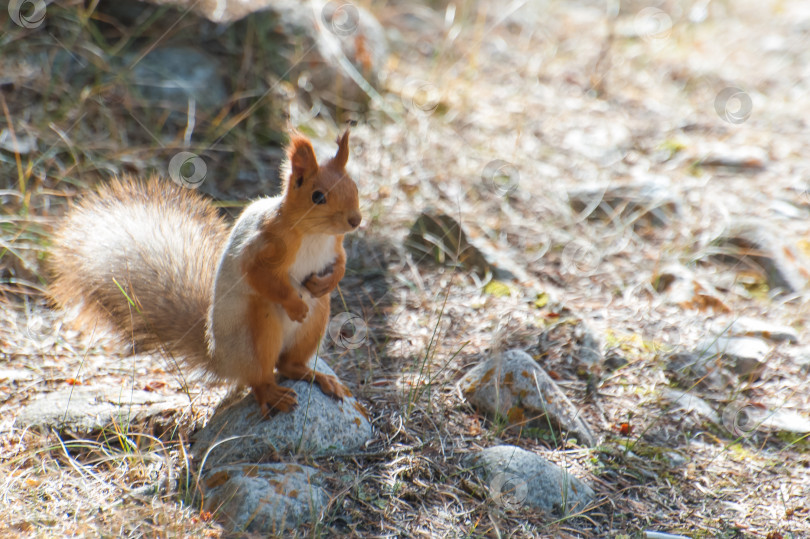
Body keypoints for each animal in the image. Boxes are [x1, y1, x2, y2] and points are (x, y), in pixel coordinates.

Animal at [49, 131, 360, 418]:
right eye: (317, 196)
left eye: (354, 186)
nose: (355, 221)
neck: (315, 234)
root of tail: (220, 360)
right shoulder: (263, 246)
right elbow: (261, 277)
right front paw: (295, 305)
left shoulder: (336, 246)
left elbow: (342, 263)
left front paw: (326, 282)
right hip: (260, 328)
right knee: (260, 376)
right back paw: (272, 393)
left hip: (316, 320)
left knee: (288, 364)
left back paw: (319, 377)